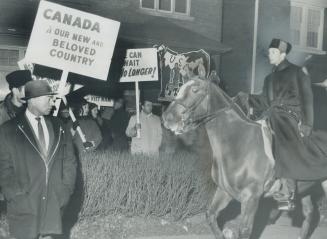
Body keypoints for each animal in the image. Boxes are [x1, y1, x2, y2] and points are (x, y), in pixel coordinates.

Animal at [163, 77, 327, 239]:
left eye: (195, 89)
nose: (167, 118)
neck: (239, 143)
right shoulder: (224, 191)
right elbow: (211, 216)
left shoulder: (251, 197)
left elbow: (245, 231)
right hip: (305, 189)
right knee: (309, 214)